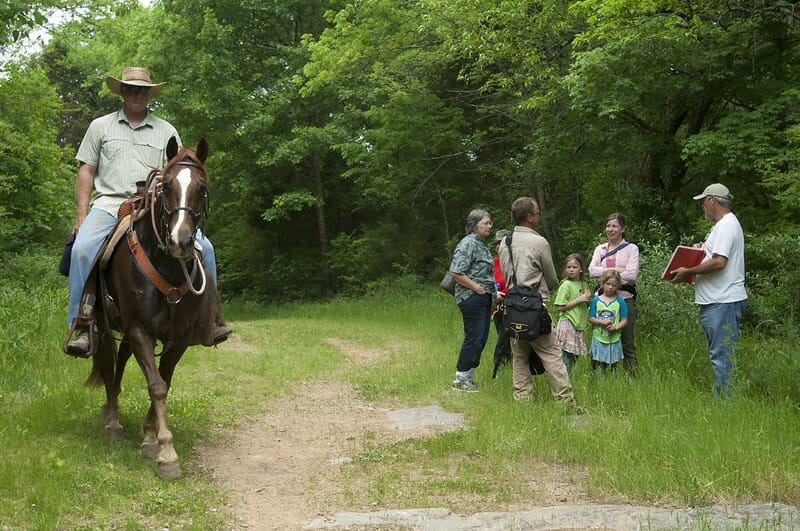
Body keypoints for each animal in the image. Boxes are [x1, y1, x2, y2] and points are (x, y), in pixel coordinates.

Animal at [87, 136, 222, 478]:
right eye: (167, 185)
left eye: (202, 188)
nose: (180, 241)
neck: (168, 267)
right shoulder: (139, 330)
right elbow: (156, 385)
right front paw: (166, 453)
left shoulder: (179, 338)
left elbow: (165, 382)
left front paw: (149, 437)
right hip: (106, 327)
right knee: (109, 365)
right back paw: (112, 420)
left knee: (121, 360)